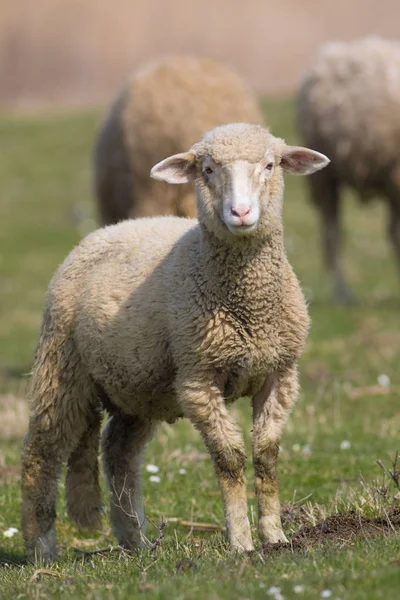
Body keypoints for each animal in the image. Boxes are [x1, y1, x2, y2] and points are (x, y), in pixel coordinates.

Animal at [20, 123, 330, 564]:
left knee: (119, 452)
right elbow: (230, 458)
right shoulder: (198, 379)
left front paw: (275, 538)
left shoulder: (280, 374)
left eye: (270, 165)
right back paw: (42, 548)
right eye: (207, 169)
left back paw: (135, 540)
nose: (240, 213)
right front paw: (241, 541)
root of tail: (106, 230)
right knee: (41, 453)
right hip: (61, 364)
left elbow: (266, 454)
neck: (248, 306)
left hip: (137, 385)